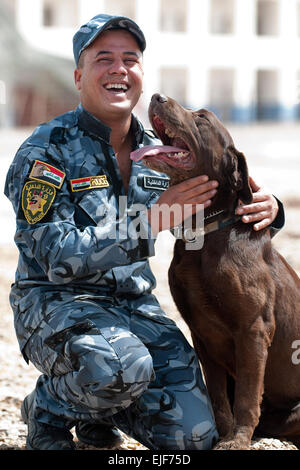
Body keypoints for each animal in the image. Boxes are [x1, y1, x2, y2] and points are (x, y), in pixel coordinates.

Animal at [131, 93, 300, 450]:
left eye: (202, 119)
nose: (156, 96)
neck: (206, 233)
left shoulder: (253, 329)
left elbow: (248, 396)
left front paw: (237, 440)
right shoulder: (202, 333)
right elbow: (219, 397)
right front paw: (224, 434)